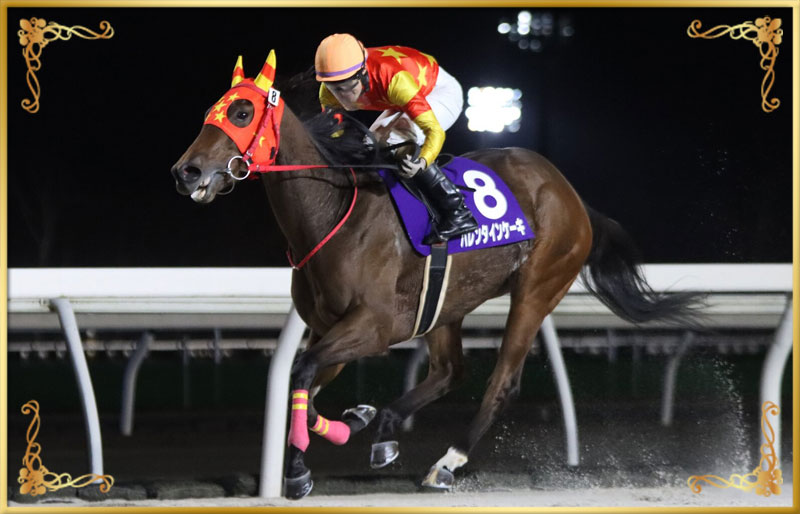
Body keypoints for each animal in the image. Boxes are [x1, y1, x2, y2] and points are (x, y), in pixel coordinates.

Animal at [171, 52, 702, 499]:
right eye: (213, 110)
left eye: (242, 113)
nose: (186, 171)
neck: (334, 211)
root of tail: (568, 193)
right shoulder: (327, 327)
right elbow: (302, 385)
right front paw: (349, 425)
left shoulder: (373, 326)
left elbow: (301, 374)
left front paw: (301, 472)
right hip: (448, 302)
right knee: (450, 370)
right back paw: (383, 426)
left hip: (538, 288)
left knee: (501, 381)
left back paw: (447, 461)